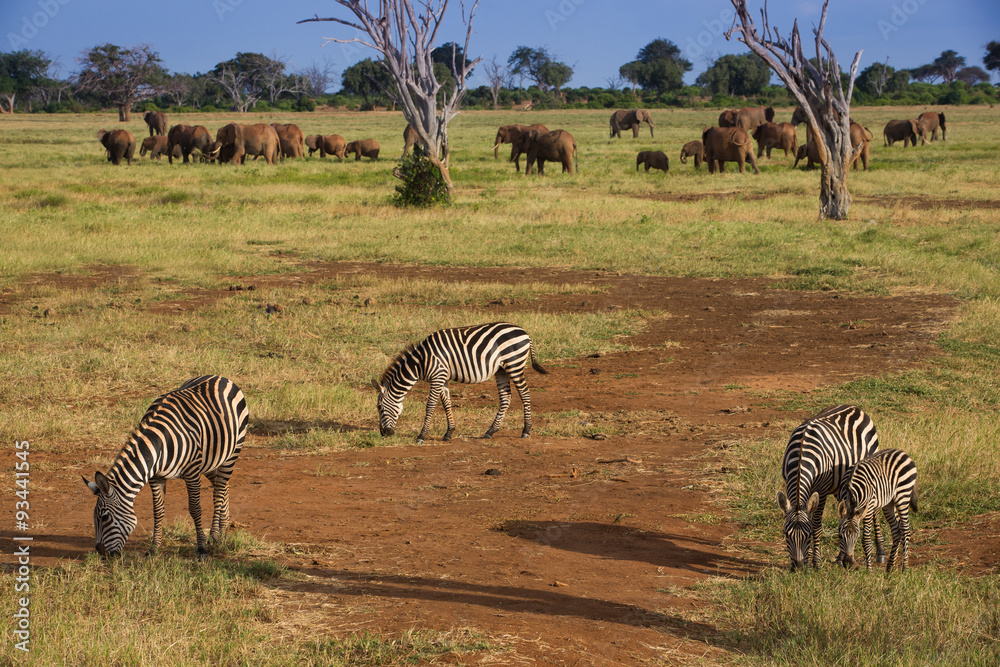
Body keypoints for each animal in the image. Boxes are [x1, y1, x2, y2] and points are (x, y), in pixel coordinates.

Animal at [82, 375, 248, 559]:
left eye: (104, 517)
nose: (101, 553)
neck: (158, 445)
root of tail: (219, 377)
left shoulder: (192, 472)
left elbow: (195, 509)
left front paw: (201, 548)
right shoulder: (156, 477)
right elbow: (158, 511)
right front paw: (154, 548)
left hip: (232, 452)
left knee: (219, 491)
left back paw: (215, 534)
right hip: (211, 461)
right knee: (223, 486)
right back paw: (222, 530)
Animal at [372, 322, 548, 442]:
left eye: (379, 407)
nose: (383, 433)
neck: (421, 362)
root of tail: (524, 332)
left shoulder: (437, 376)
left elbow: (430, 405)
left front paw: (422, 435)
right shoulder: (442, 378)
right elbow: (446, 404)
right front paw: (449, 433)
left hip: (514, 364)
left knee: (524, 393)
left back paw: (526, 430)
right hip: (501, 369)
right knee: (506, 397)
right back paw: (491, 431)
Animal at [776, 404, 885, 570]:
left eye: (808, 535)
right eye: (786, 534)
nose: (798, 567)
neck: (801, 454)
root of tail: (854, 407)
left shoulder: (822, 490)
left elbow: (816, 525)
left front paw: (815, 562)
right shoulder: (788, 481)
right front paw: (808, 561)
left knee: (874, 512)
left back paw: (880, 552)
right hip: (842, 485)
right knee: (846, 515)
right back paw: (841, 558)